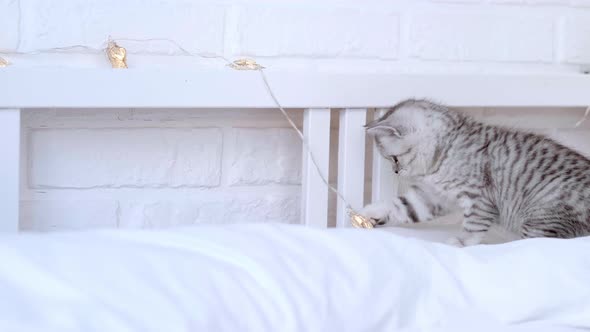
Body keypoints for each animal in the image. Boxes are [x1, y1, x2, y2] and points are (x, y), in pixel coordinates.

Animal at [364, 98, 590, 246]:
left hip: (543, 217)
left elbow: (474, 225)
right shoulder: (431, 196)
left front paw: (461, 242)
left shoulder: (480, 197)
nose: (395, 171)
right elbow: (402, 206)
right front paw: (371, 211)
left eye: (394, 158)